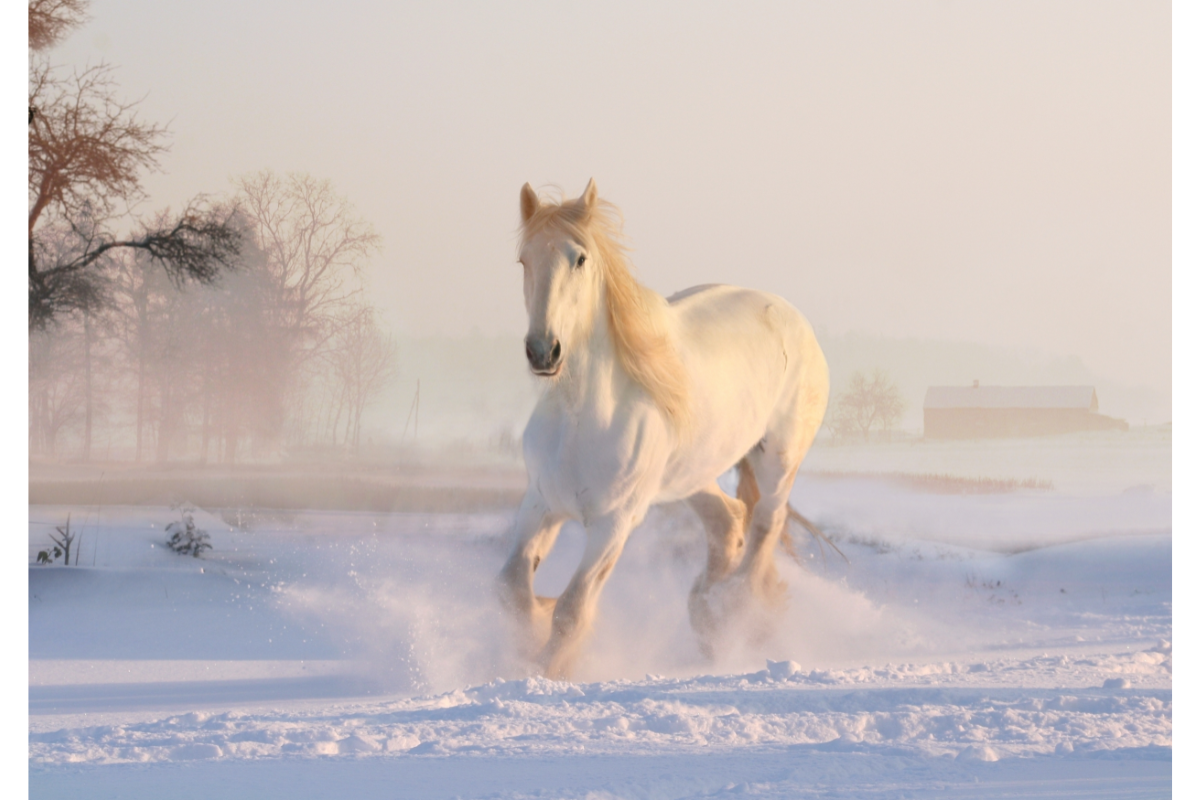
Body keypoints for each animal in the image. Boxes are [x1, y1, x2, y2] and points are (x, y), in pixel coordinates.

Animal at [497, 179, 830, 678]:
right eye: (524, 260)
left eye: (580, 258)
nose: (543, 351)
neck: (581, 418)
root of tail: (794, 318)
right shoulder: (540, 503)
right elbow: (513, 590)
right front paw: (530, 636)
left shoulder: (614, 523)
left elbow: (572, 610)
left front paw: (549, 668)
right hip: (692, 474)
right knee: (728, 520)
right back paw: (707, 614)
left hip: (778, 458)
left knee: (765, 524)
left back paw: (733, 611)